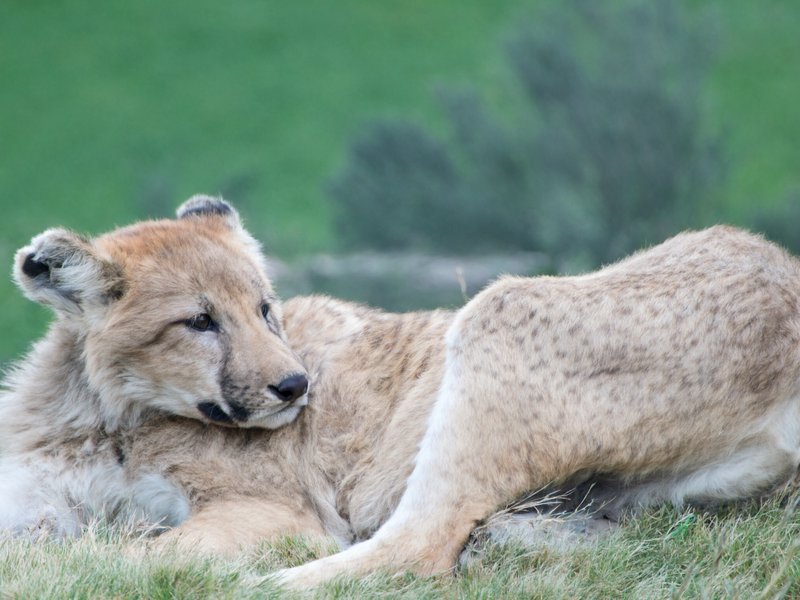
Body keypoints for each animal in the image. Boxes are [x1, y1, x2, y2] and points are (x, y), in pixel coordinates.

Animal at [2, 198, 799, 591]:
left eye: (265, 308)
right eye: (199, 321)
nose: (294, 385)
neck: (103, 415)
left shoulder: (281, 512)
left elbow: (135, 553)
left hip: (496, 314)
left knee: (414, 547)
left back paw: (259, 584)